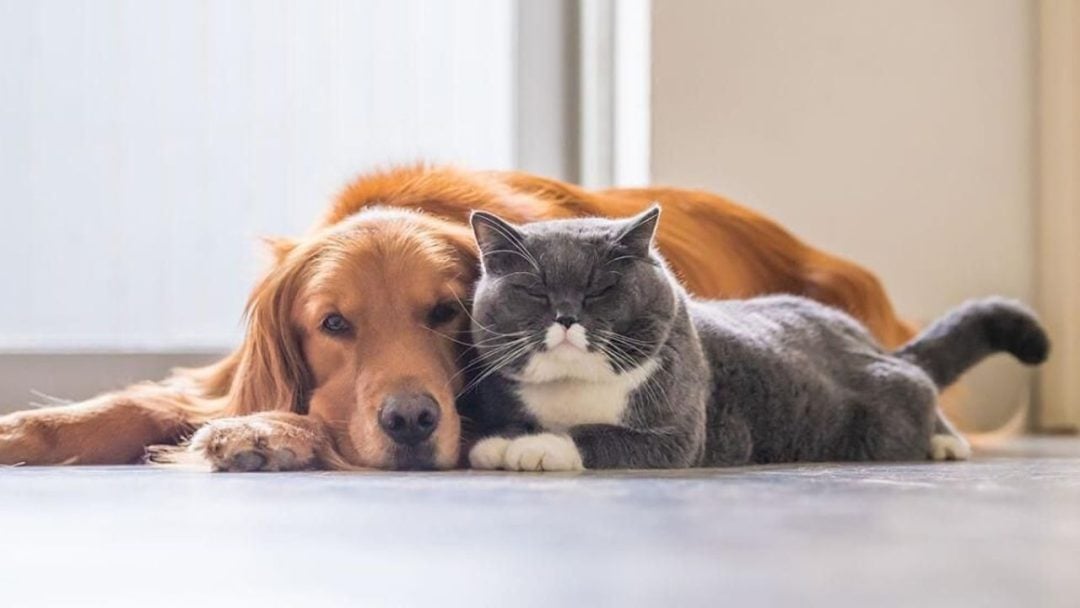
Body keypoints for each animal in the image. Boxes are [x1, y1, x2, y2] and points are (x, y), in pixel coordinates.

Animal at [0, 165, 911, 470]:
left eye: (444, 312)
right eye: (333, 326)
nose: (410, 421)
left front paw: (267, 435)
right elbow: (136, 403)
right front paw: (24, 432)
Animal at [462, 207, 1045, 473]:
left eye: (600, 289)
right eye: (535, 291)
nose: (565, 316)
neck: (573, 388)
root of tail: (866, 338)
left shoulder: (677, 435)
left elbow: (595, 436)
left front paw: (530, 448)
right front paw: (501, 440)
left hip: (886, 409)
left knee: (920, 385)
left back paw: (947, 442)